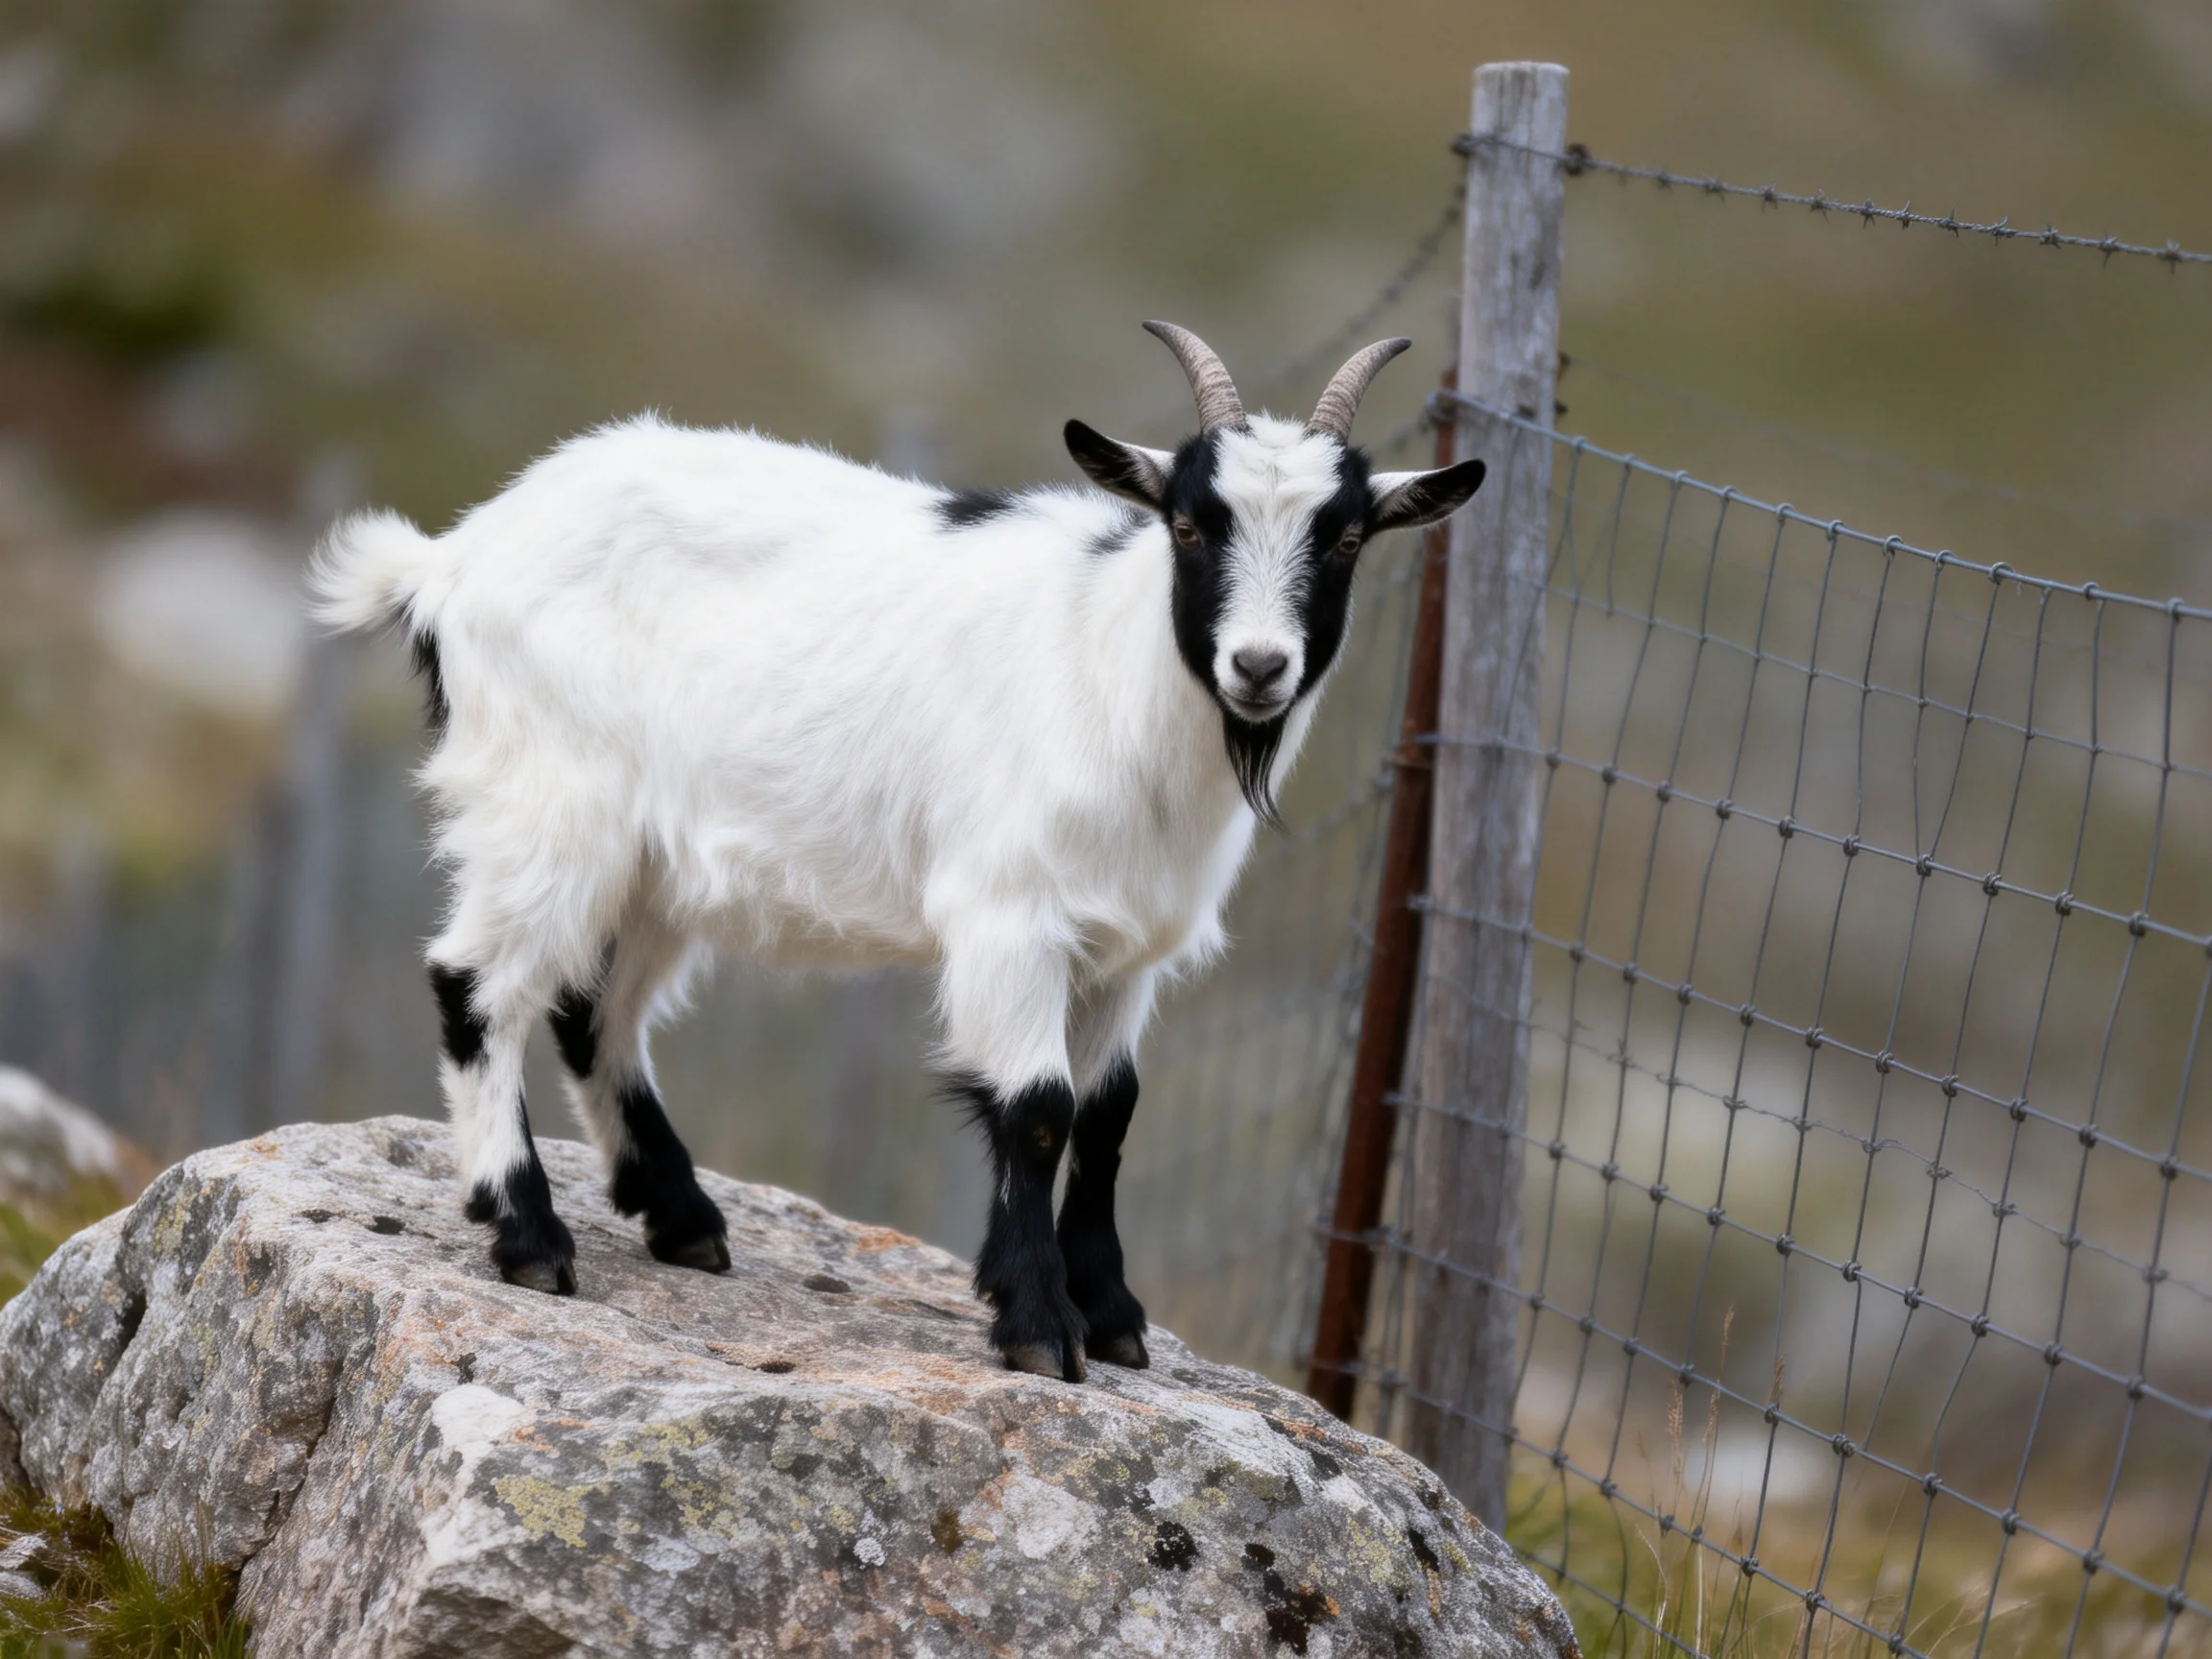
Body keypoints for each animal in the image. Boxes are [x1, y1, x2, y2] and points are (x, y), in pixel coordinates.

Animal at [311, 323, 1485, 1381]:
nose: (1258, 666)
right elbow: (1039, 1109)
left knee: (593, 1009)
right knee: (478, 985)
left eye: (1346, 539)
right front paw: (1039, 1326)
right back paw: (529, 1237)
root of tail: (450, 560)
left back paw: (682, 1217)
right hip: (548, 805)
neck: (1112, 670)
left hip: (653, 860)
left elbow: (1109, 1117)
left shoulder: (1125, 949)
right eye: (1192, 525)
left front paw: (1112, 1315)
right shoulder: (1011, 916)